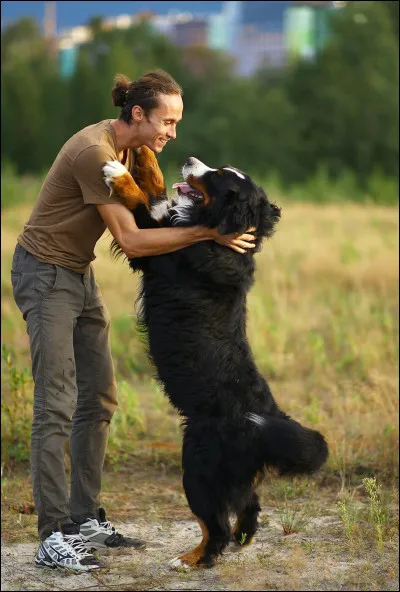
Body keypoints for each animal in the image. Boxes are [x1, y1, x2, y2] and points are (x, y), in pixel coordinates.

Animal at [102, 147, 328, 568]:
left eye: (218, 175)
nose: (191, 158)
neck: (219, 236)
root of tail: (262, 424)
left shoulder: (154, 249)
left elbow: (141, 205)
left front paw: (119, 173)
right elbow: (156, 192)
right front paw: (144, 155)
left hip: (197, 467)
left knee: (215, 526)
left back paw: (189, 559)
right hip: (234, 475)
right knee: (249, 508)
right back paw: (241, 540)